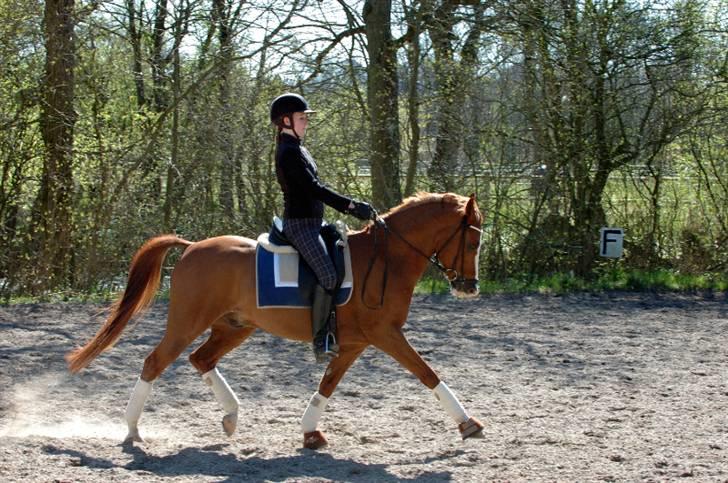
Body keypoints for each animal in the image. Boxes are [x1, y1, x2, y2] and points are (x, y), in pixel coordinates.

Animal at [65, 191, 486, 448]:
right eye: (473, 241)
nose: (470, 287)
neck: (387, 259)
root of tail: (192, 246)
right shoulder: (386, 334)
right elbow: (427, 373)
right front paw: (468, 424)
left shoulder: (355, 342)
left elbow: (327, 384)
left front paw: (310, 432)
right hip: (187, 323)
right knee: (155, 362)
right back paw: (133, 429)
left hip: (235, 326)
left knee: (201, 359)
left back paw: (231, 417)